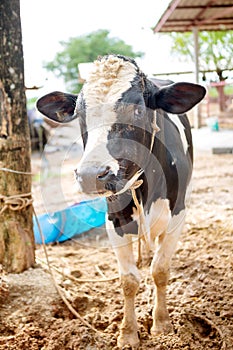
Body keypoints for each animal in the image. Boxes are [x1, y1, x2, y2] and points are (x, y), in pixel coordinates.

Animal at [36, 54, 206, 348]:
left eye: (137, 111)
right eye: (80, 114)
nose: (91, 175)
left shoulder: (178, 215)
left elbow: (160, 270)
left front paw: (162, 323)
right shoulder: (113, 220)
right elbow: (128, 280)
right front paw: (128, 333)